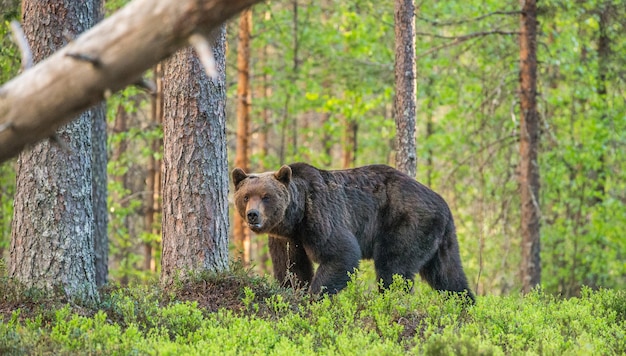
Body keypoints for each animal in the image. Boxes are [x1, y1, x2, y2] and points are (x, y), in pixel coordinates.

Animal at [233, 163, 472, 302]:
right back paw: (465, 304)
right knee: (448, 274)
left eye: (266, 196)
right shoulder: (286, 238)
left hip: (406, 223)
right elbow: (291, 267)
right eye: (246, 196)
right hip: (441, 238)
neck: (295, 218)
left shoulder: (321, 216)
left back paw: (389, 301)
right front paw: (293, 290)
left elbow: (341, 253)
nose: (253, 215)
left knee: (393, 267)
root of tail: (442, 203)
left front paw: (314, 296)